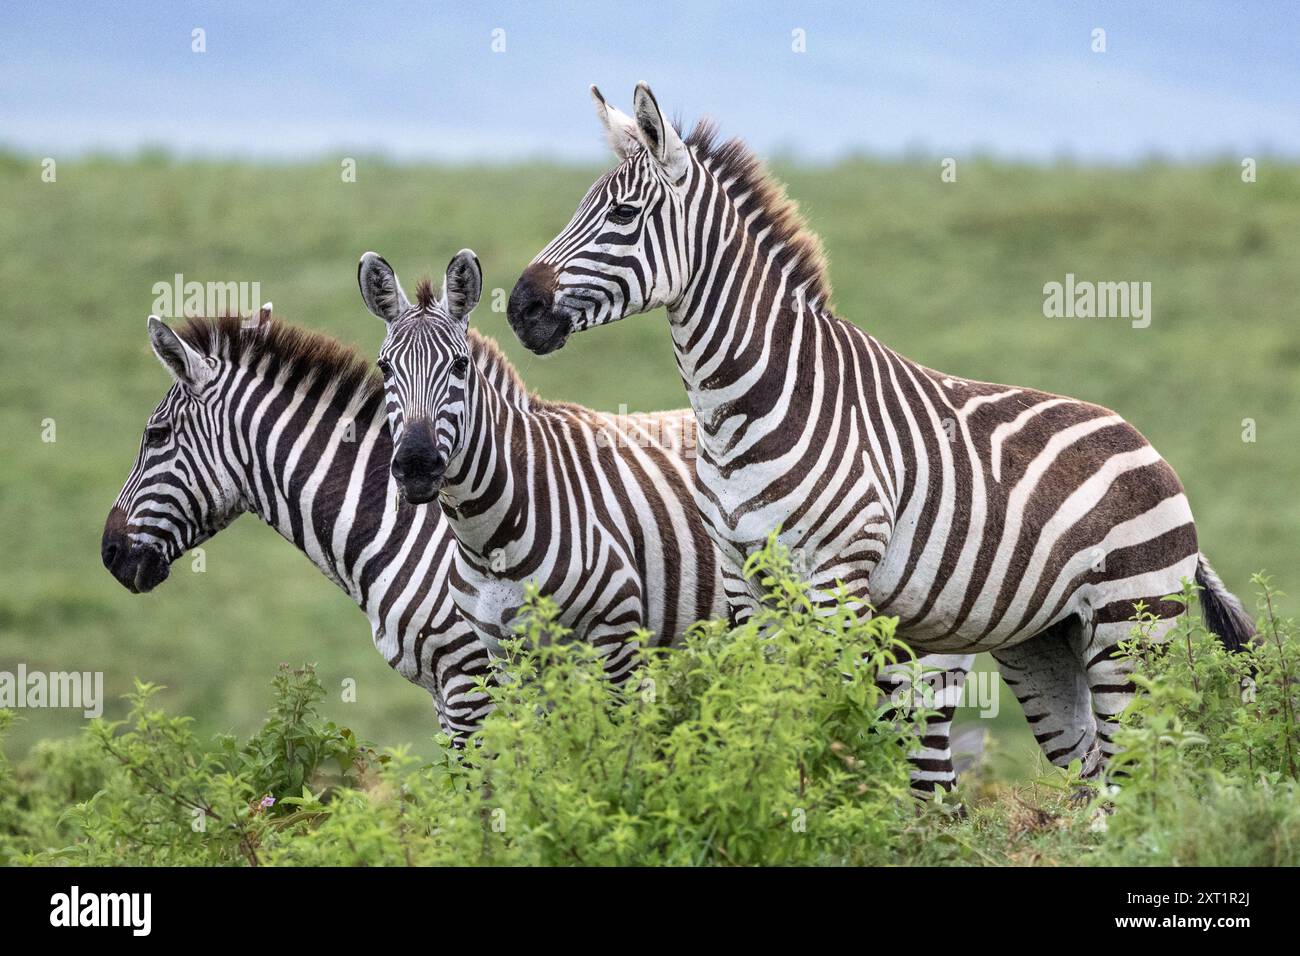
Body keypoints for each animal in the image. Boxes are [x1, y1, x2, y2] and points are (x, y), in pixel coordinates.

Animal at [356, 249, 729, 681]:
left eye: (460, 365)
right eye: (384, 368)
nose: (417, 464)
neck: (488, 544)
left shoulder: (616, 636)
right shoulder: (505, 654)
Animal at [506, 82, 1255, 780]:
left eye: (624, 216)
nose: (519, 308)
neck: (750, 402)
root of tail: (1147, 445)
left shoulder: (838, 581)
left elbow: (834, 720)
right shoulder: (749, 584)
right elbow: (775, 715)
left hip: (1132, 627)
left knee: (1140, 776)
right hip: (1046, 641)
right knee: (1096, 782)